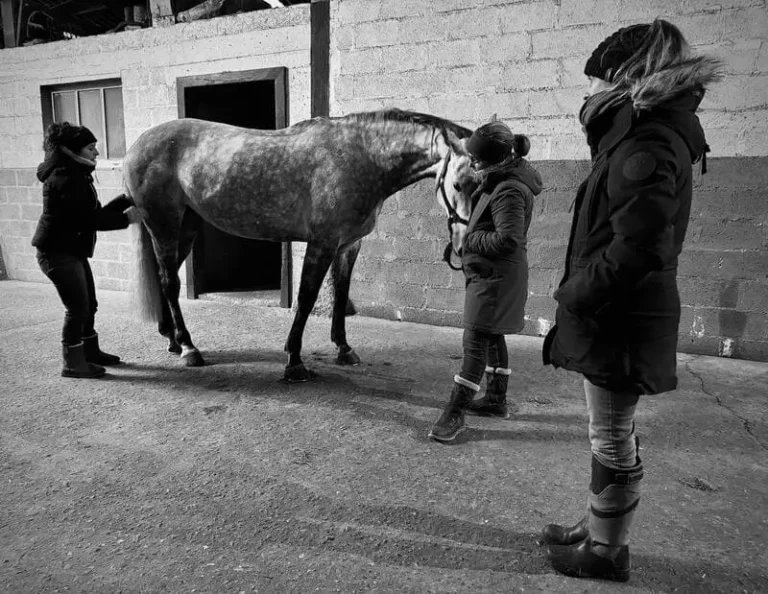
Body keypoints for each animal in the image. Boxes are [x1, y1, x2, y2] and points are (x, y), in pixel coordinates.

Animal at [126, 109, 473, 382]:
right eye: (458, 184)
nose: (463, 247)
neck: (360, 157)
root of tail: (137, 145)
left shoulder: (349, 245)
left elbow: (340, 295)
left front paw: (344, 349)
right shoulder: (322, 243)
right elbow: (307, 298)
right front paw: (294, 361)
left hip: (186, 227)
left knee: (165, 277)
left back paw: (172, 340)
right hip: (164, 226)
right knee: (170, 283)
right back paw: (188, 348)